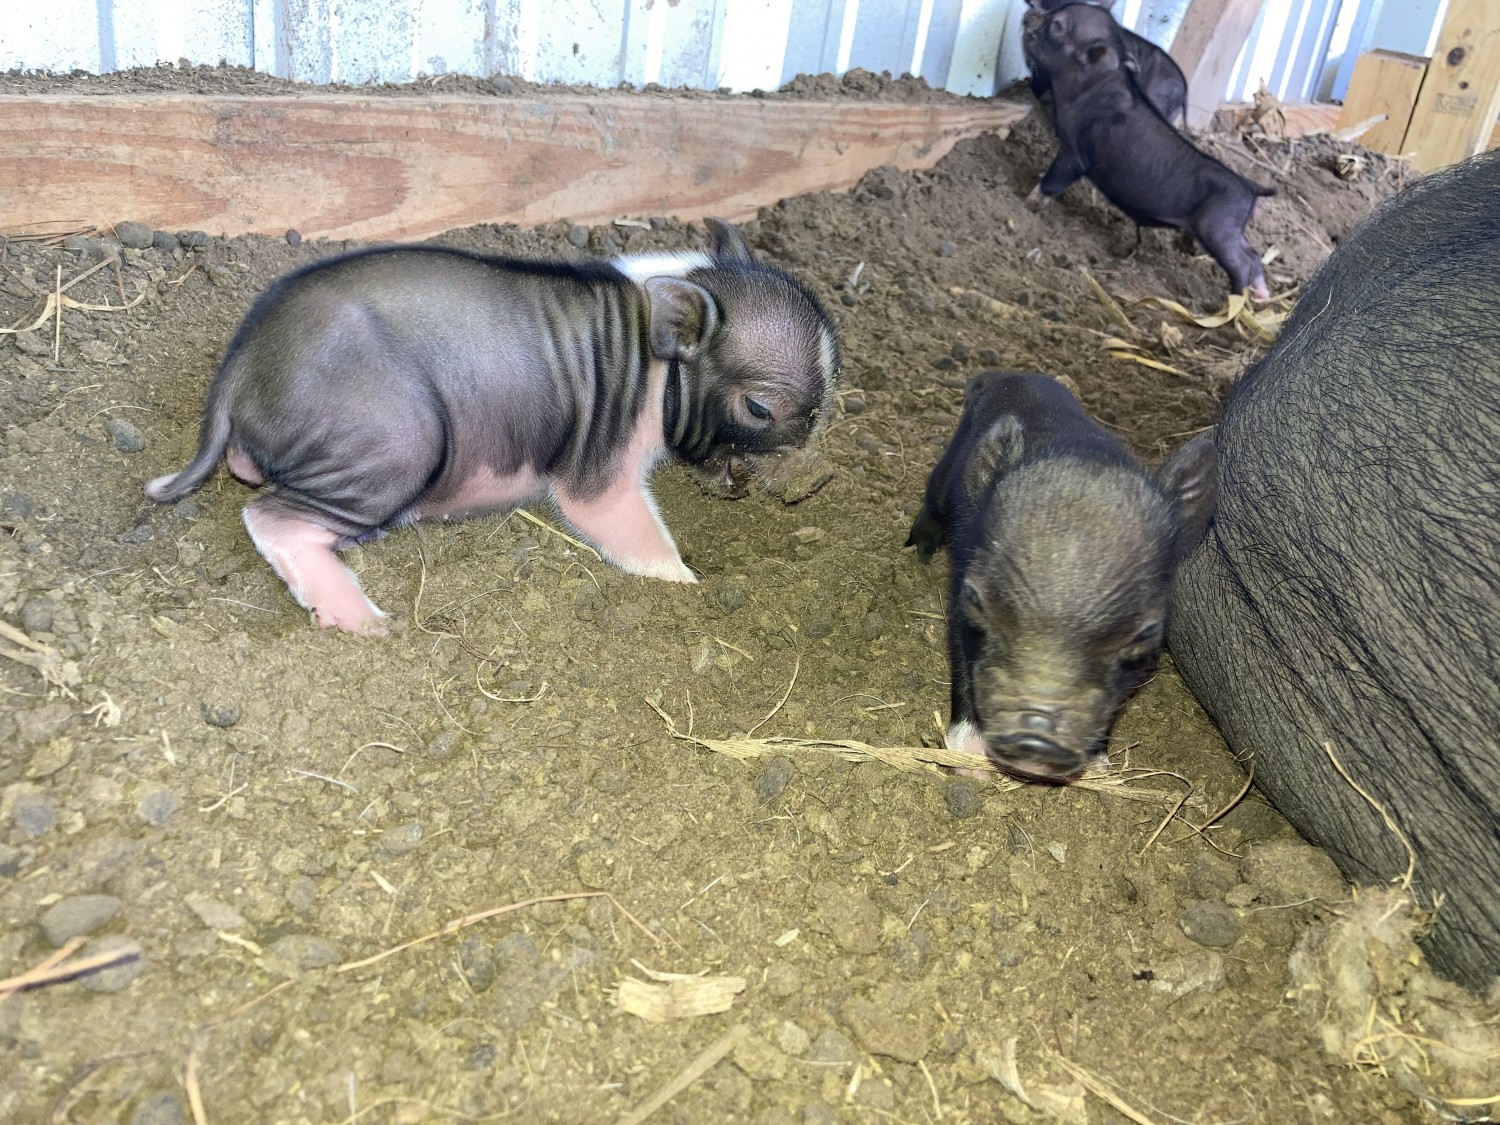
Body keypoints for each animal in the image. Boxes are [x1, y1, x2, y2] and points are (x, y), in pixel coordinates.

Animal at [145, 219, 840, 634]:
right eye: (760, 409)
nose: (818, 471)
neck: (653, 360)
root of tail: (238, 369)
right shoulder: (599, 467)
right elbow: (627, 527)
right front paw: (687, 584)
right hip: (392, 447)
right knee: (269, 518)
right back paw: (366, 622)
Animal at [907, 371, 1217, 781]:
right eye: (976, 601)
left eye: (1145, 635)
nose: (1034, 740)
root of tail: (1010, 375)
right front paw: (972, 768)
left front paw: (1100, 771)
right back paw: (919, 551)